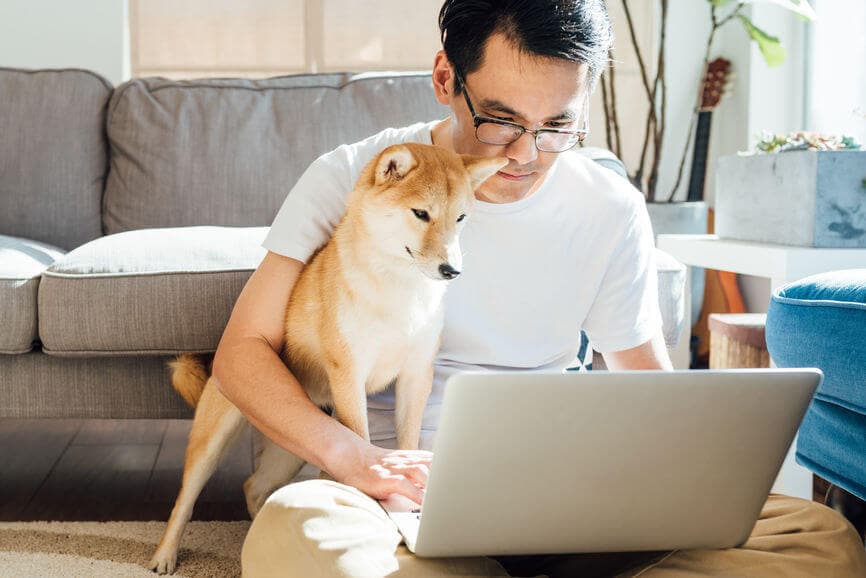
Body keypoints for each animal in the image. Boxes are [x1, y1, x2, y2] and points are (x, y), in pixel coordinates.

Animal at [145, 143, 502, 572]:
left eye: (460, 217)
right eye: (421, 213)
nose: (452, 270)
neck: (398, 288)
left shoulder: (416, 376)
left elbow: (408, 438)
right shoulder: (349, 374)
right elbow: (362, 442)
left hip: (292, 444)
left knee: (254, 486)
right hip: (216, 437)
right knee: (185, 499)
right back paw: (166, 554)